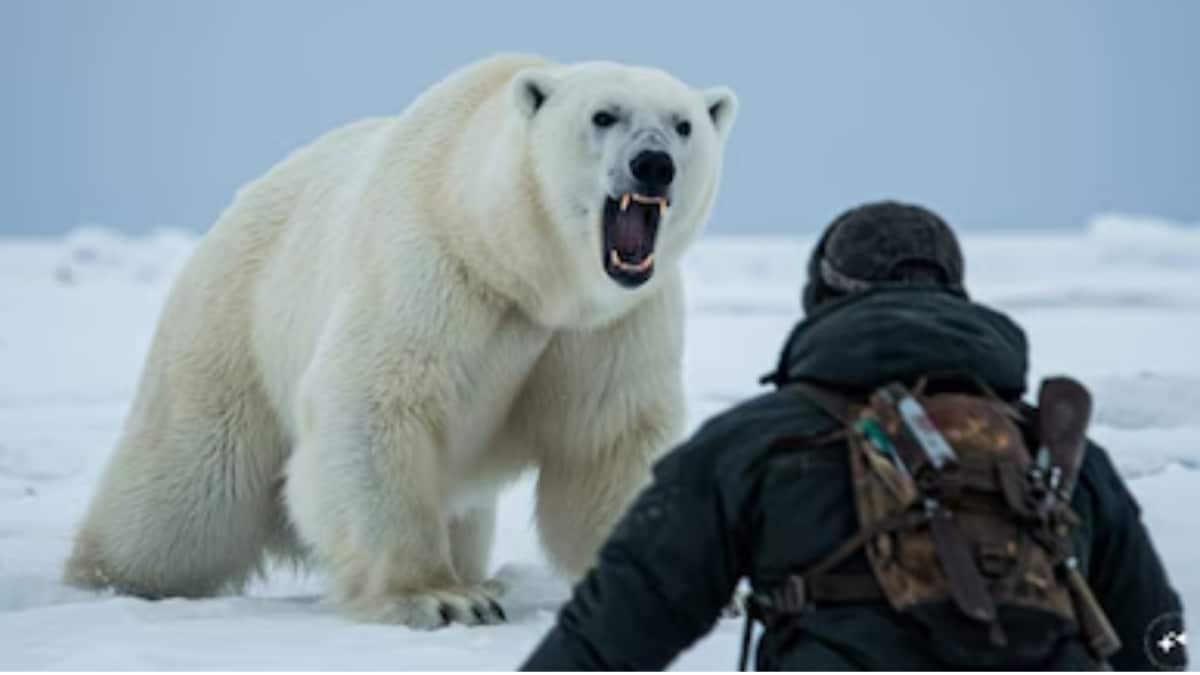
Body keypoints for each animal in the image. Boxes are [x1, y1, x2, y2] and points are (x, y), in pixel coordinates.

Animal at [64, 53, 738, 629]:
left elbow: (610, 441)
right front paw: (440, 598)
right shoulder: (433, 270)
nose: (654, 164)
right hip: (233, 327)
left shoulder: (608, 325)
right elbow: (374, 400)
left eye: (682, 125)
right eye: (604, 115)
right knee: (184, 499)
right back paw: (106, 577)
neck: (518, 264)